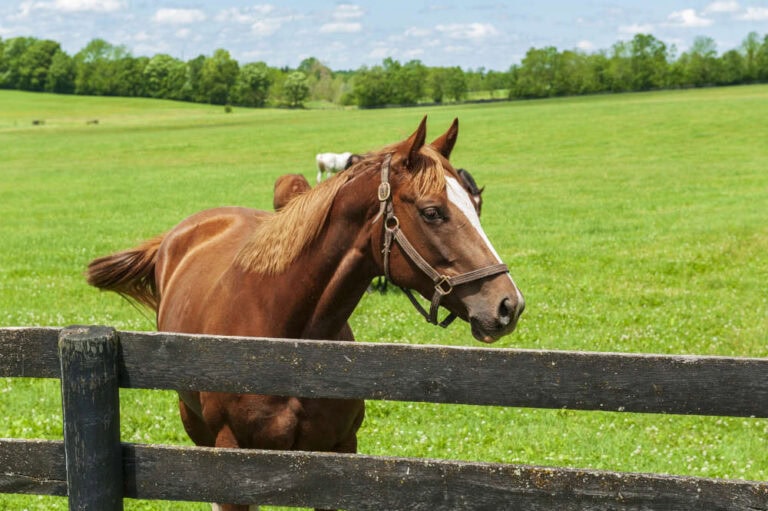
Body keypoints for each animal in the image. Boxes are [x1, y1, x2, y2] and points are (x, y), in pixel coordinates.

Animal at [86, 117, 525, 511]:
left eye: (476, 206)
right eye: (432, 211)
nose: (508, 304)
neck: (288, 343)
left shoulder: (337, 455)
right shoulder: (233, 467)